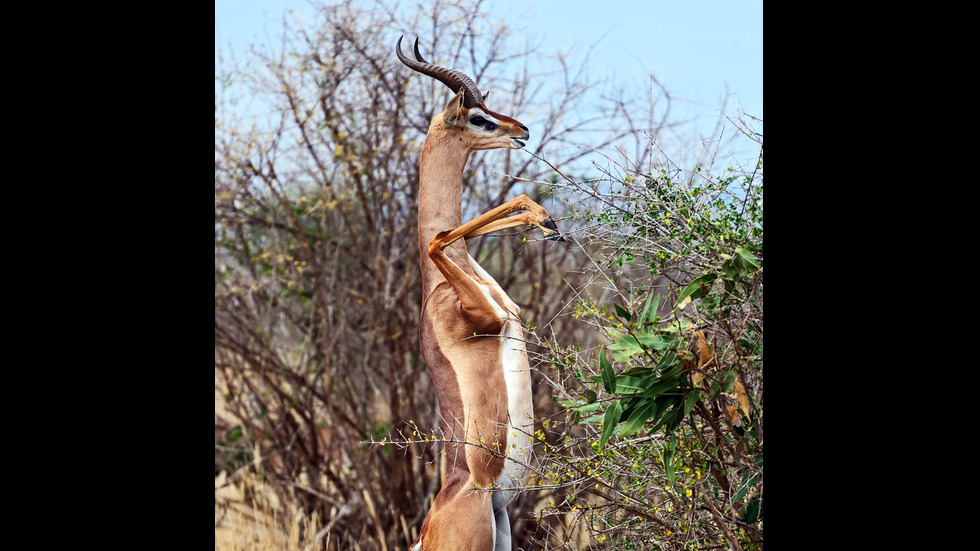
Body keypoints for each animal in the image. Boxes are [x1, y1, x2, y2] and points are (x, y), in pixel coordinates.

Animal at [398, 36, 564, 548]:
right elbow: (437, 238)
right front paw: (541, 217)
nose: (521, 129)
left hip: (504, 529)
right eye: (478, 117)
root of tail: (428, 530)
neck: (436, 291)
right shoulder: (488, 319)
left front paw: (546, 221)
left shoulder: (508, 307)